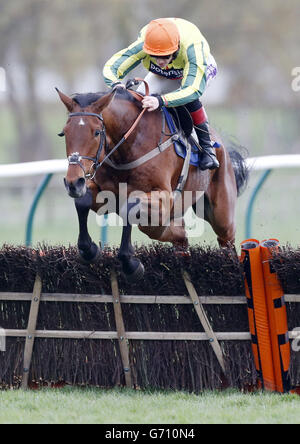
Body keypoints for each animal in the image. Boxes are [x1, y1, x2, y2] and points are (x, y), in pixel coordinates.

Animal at [56, 84, 248, 280]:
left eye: (96, 132)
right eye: (64, 133)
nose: (74, 182)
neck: (129, 145)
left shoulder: (162, 196)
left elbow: (130, 207)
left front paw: (130, 263)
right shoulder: (105, 193)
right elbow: (83, 201)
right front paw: (89, 250)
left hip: (221, 214)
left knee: (225, 241)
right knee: (178, 235)